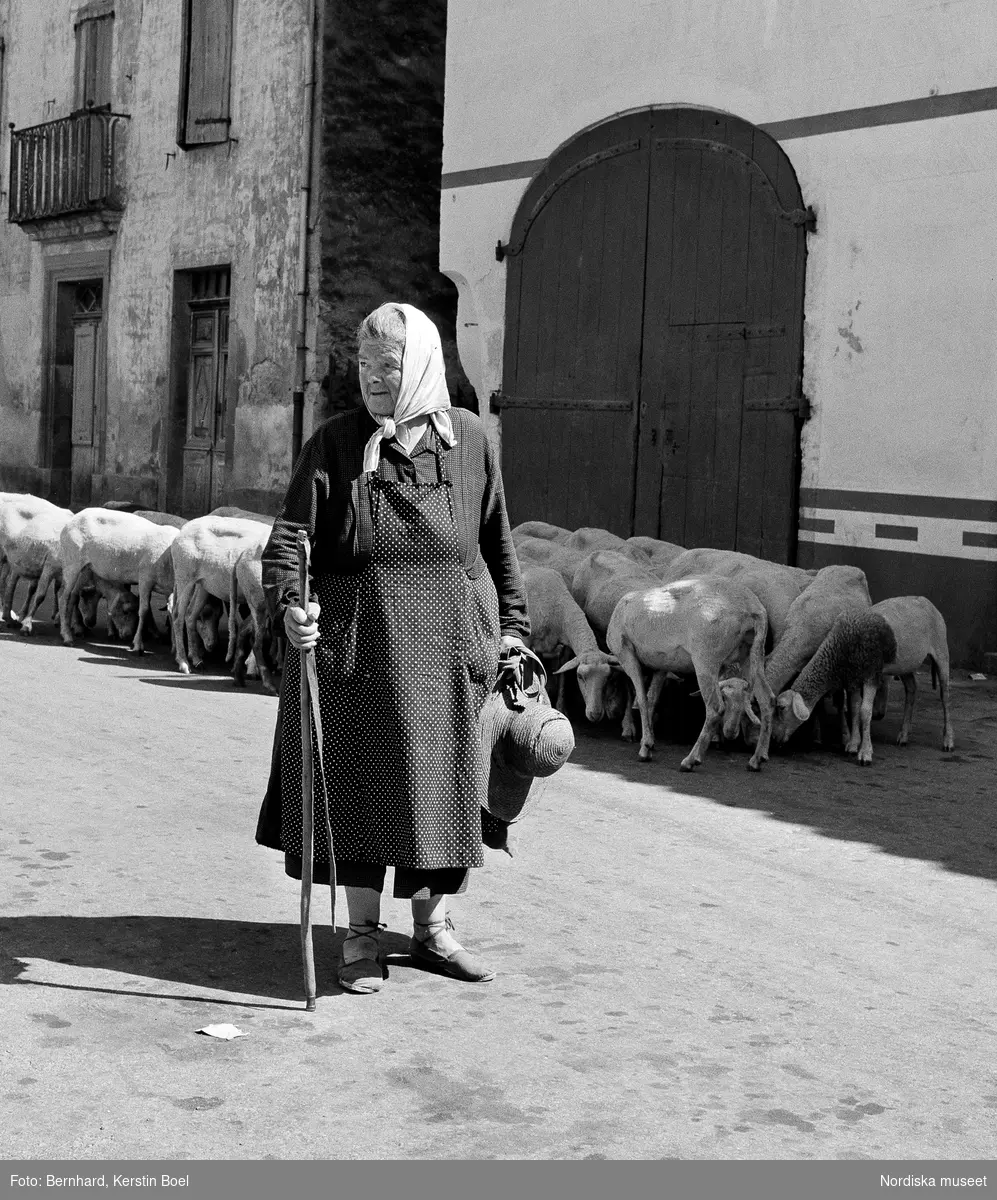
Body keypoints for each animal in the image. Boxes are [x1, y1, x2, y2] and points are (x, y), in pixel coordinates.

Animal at [525, 564, 619, 720]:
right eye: (580, 676)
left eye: (607, 677)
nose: (595, 714)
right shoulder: (526, 641)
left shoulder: (566, 647)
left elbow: (563, 674)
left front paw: (561, 708)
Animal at [604, 573, 777, 777]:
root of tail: (753, 609)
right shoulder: (662, 665)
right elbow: (652, 699)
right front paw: (651, 743)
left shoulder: (626, 653)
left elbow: (642, 699)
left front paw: (645, 748)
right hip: (751, 654)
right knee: (768, 699)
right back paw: (757, 760)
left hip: (706, 658)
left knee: (715, 708)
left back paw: (690, 761)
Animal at [767, 609, 902, 768]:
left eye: (781, 708)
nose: (773, 738)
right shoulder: (852, 679)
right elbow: (855, 708)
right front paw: (853, 744)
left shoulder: (871, 674)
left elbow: (864, 711)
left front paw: (865, 752)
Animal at [868, 597, 955, 753]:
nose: (878, 715)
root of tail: (926, 600)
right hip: (905, 664)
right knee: (911, 688)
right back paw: (903, 736)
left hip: (941, 649)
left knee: (945, 695)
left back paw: (948, 742)